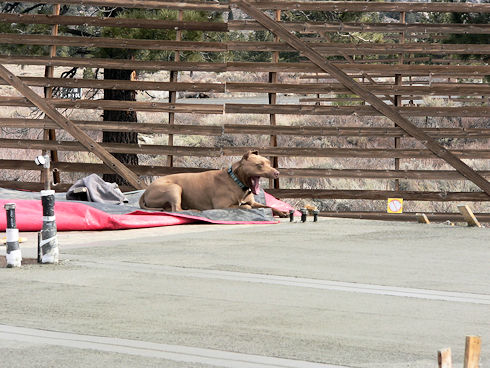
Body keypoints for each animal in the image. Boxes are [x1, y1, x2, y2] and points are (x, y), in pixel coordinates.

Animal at [139, 151, 288, 217]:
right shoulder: (223, 206)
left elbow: (268, 206)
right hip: (174, 187)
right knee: (177, 209)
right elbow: (245, 207)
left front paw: (281, 212)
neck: (236, 181)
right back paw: (193, 211)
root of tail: (145, 192)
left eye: (268, 163)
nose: (277, 173)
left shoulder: (253, 202)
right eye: (259, 165)